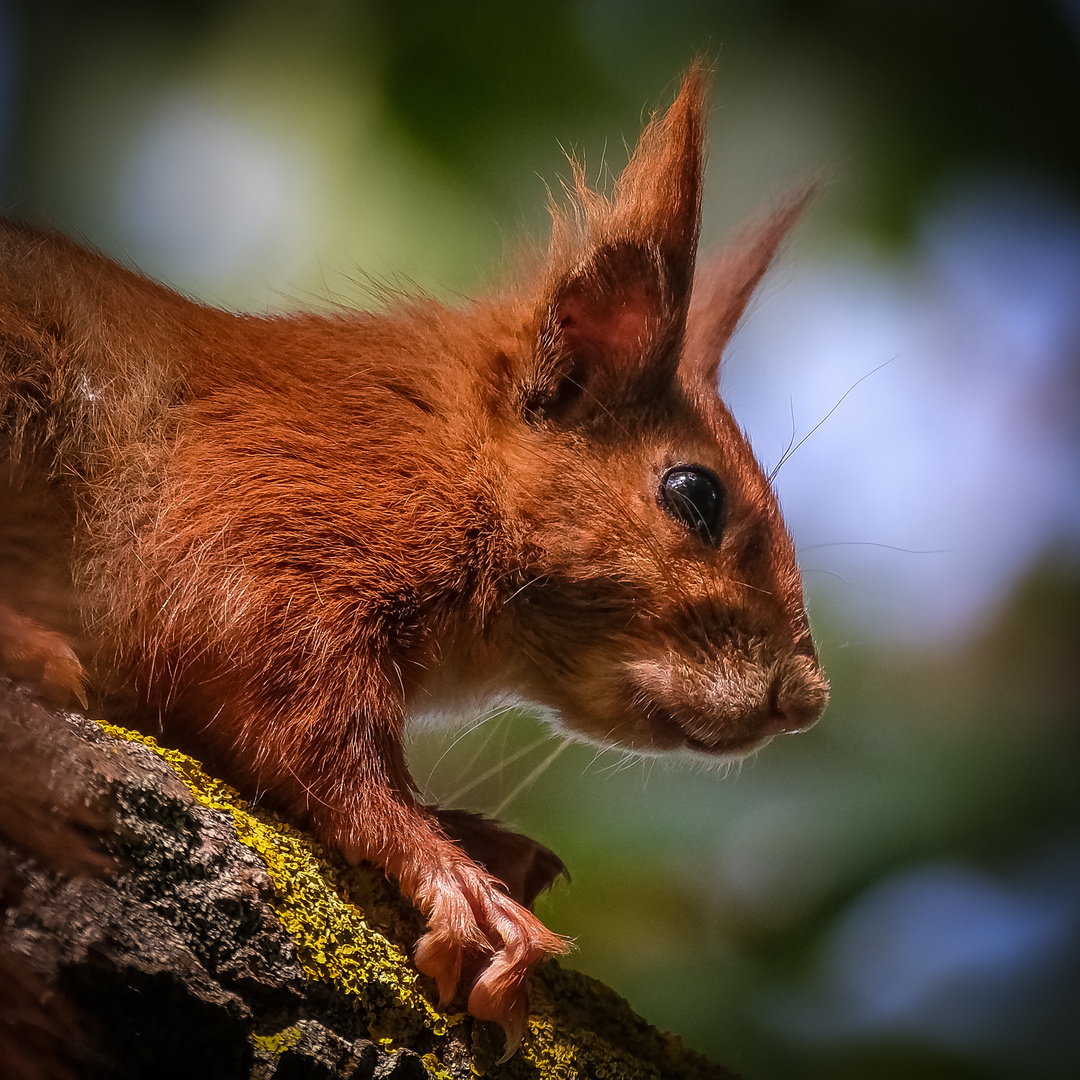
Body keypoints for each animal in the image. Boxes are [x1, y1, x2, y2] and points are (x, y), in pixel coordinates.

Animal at [0, 67, 825, 1054]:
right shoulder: (272, 517)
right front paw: (446, 864)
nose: (805, 701)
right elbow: (297, 718)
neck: (450, 451)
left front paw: (475, 837)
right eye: (695, 495)